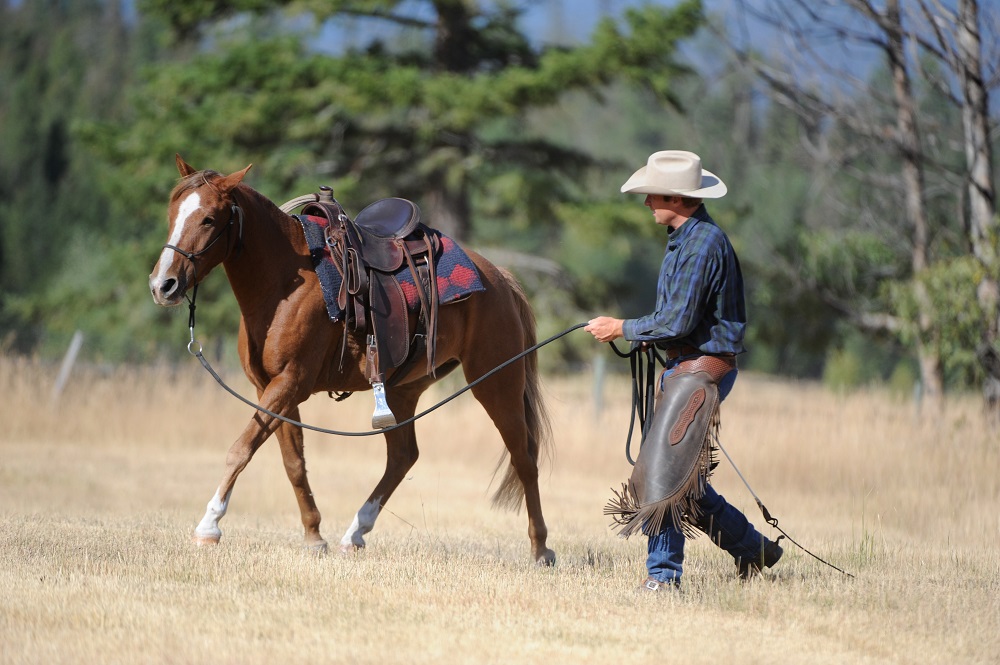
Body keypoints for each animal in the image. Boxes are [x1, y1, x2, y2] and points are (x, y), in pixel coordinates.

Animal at [148, 155, 556, 564]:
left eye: (208, 219)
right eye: (171, 214)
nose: (163, 285)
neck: (282, 284)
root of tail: (500, 279)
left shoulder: (290, 383)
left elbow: (240, 449)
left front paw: (209, 526)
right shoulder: (271, 389)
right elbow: (293, 462)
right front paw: (314, 535)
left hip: (497, 381)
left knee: (524, 457)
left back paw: (540, 548)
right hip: (403, 390)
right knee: (403, 456)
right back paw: (355, 532)